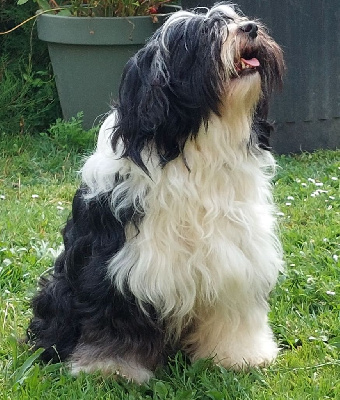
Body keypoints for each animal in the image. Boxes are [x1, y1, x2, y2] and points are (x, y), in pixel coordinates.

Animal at [27, 3, 286, 384]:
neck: (195, 147)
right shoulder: (117, 265)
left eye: (236, 19)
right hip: (61, 287)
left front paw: (241, 355)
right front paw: (110, 368)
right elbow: (112, 320)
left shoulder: (235, 257)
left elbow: (234, 312)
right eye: (204, 35)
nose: (251, 28)